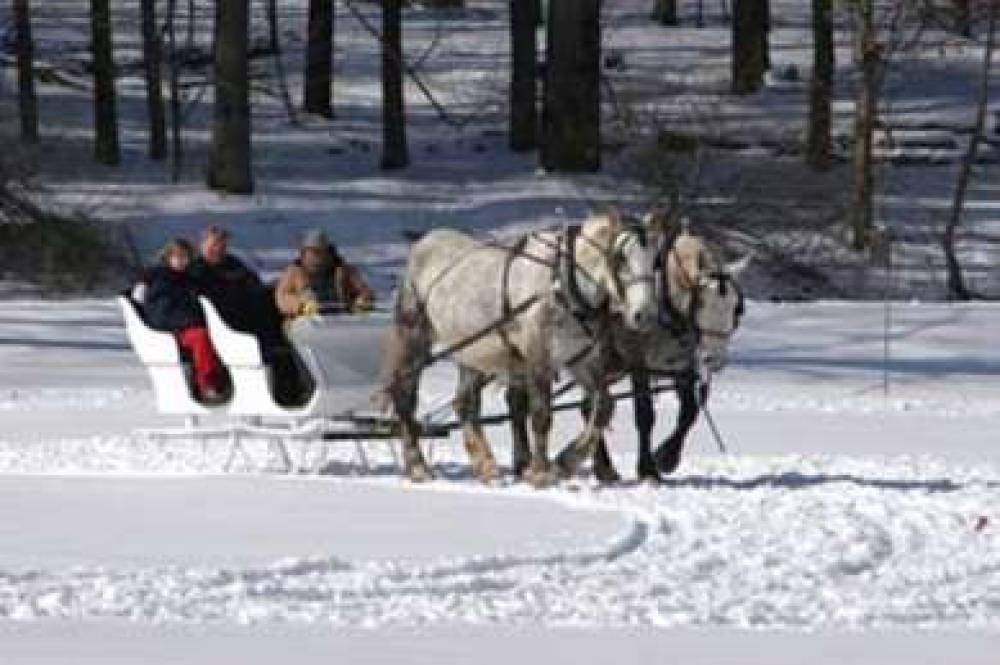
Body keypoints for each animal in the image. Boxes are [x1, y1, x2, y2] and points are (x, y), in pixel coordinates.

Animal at [378, 213, 660, 488]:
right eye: (621, 258)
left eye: (656, 261)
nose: (644, 315)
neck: (561, 285)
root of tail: (425, 240)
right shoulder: (539, 359)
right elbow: (541, 416)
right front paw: (541, 473)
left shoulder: (580, 359)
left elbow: (603, 406)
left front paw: (566, 462)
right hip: (414, 337)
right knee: (405, 397)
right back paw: (418, 467)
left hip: (472, 351)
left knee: (465, 403)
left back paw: (487, 469)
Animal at [508, 218, 752, 482]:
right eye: (701, 302)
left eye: (737, 308)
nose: (713, 359)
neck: (664, 300)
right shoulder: (637, 359)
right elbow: (645, 413)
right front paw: (648, 468)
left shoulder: (680, 363)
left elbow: (689, 411)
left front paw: (667, 457)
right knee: (517, 402)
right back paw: (523, 461)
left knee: (587, 406)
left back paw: (601, 467)